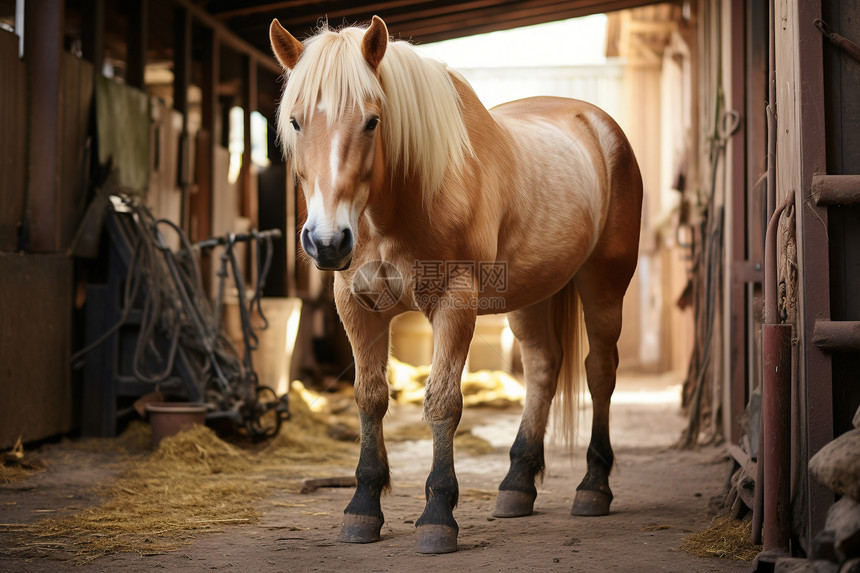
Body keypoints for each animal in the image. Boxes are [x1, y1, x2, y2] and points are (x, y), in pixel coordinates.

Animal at [268, 16, 640, 556]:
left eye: (372, 121)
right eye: (296, 122)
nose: (327, 241)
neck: (399, 205)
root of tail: (599, 125)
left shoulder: (454, 304)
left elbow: (442, 402)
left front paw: (438, 516)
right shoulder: (356, 307)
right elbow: (370, 397)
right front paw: (362, 508)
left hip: (604, 283)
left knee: (600, 373)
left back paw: (593, 488)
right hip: (529, 295)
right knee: (543, 369)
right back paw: (516, 485)